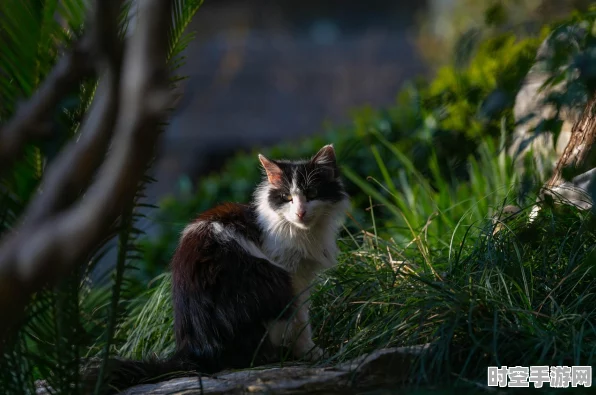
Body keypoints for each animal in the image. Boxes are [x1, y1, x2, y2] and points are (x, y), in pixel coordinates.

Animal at [96, 145, 350, 392]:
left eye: (312, 194)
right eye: (287, 198)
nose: (300, 212)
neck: (300, 232)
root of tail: (194, 349)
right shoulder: (293, 276)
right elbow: (301, 321)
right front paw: (312, 353)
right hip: (270, 278)